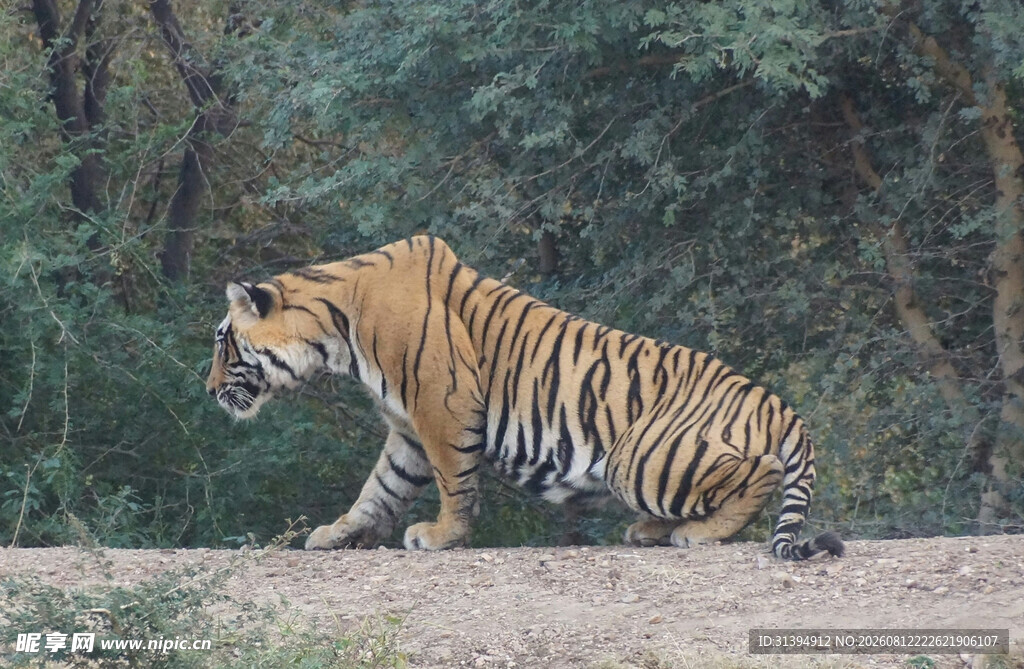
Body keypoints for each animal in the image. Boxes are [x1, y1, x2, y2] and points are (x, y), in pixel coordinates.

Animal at [206, 236, 843, 560]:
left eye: (221, 341)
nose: (209, 390)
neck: (335, 331)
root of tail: (776, 402)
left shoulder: (443, 406)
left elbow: (454, 483)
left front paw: (442, 537)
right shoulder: (407, 430)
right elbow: (379, 490)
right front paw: (338, 535)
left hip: (641, 457)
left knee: (760, 471)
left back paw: (695, 533)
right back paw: (650, 531)